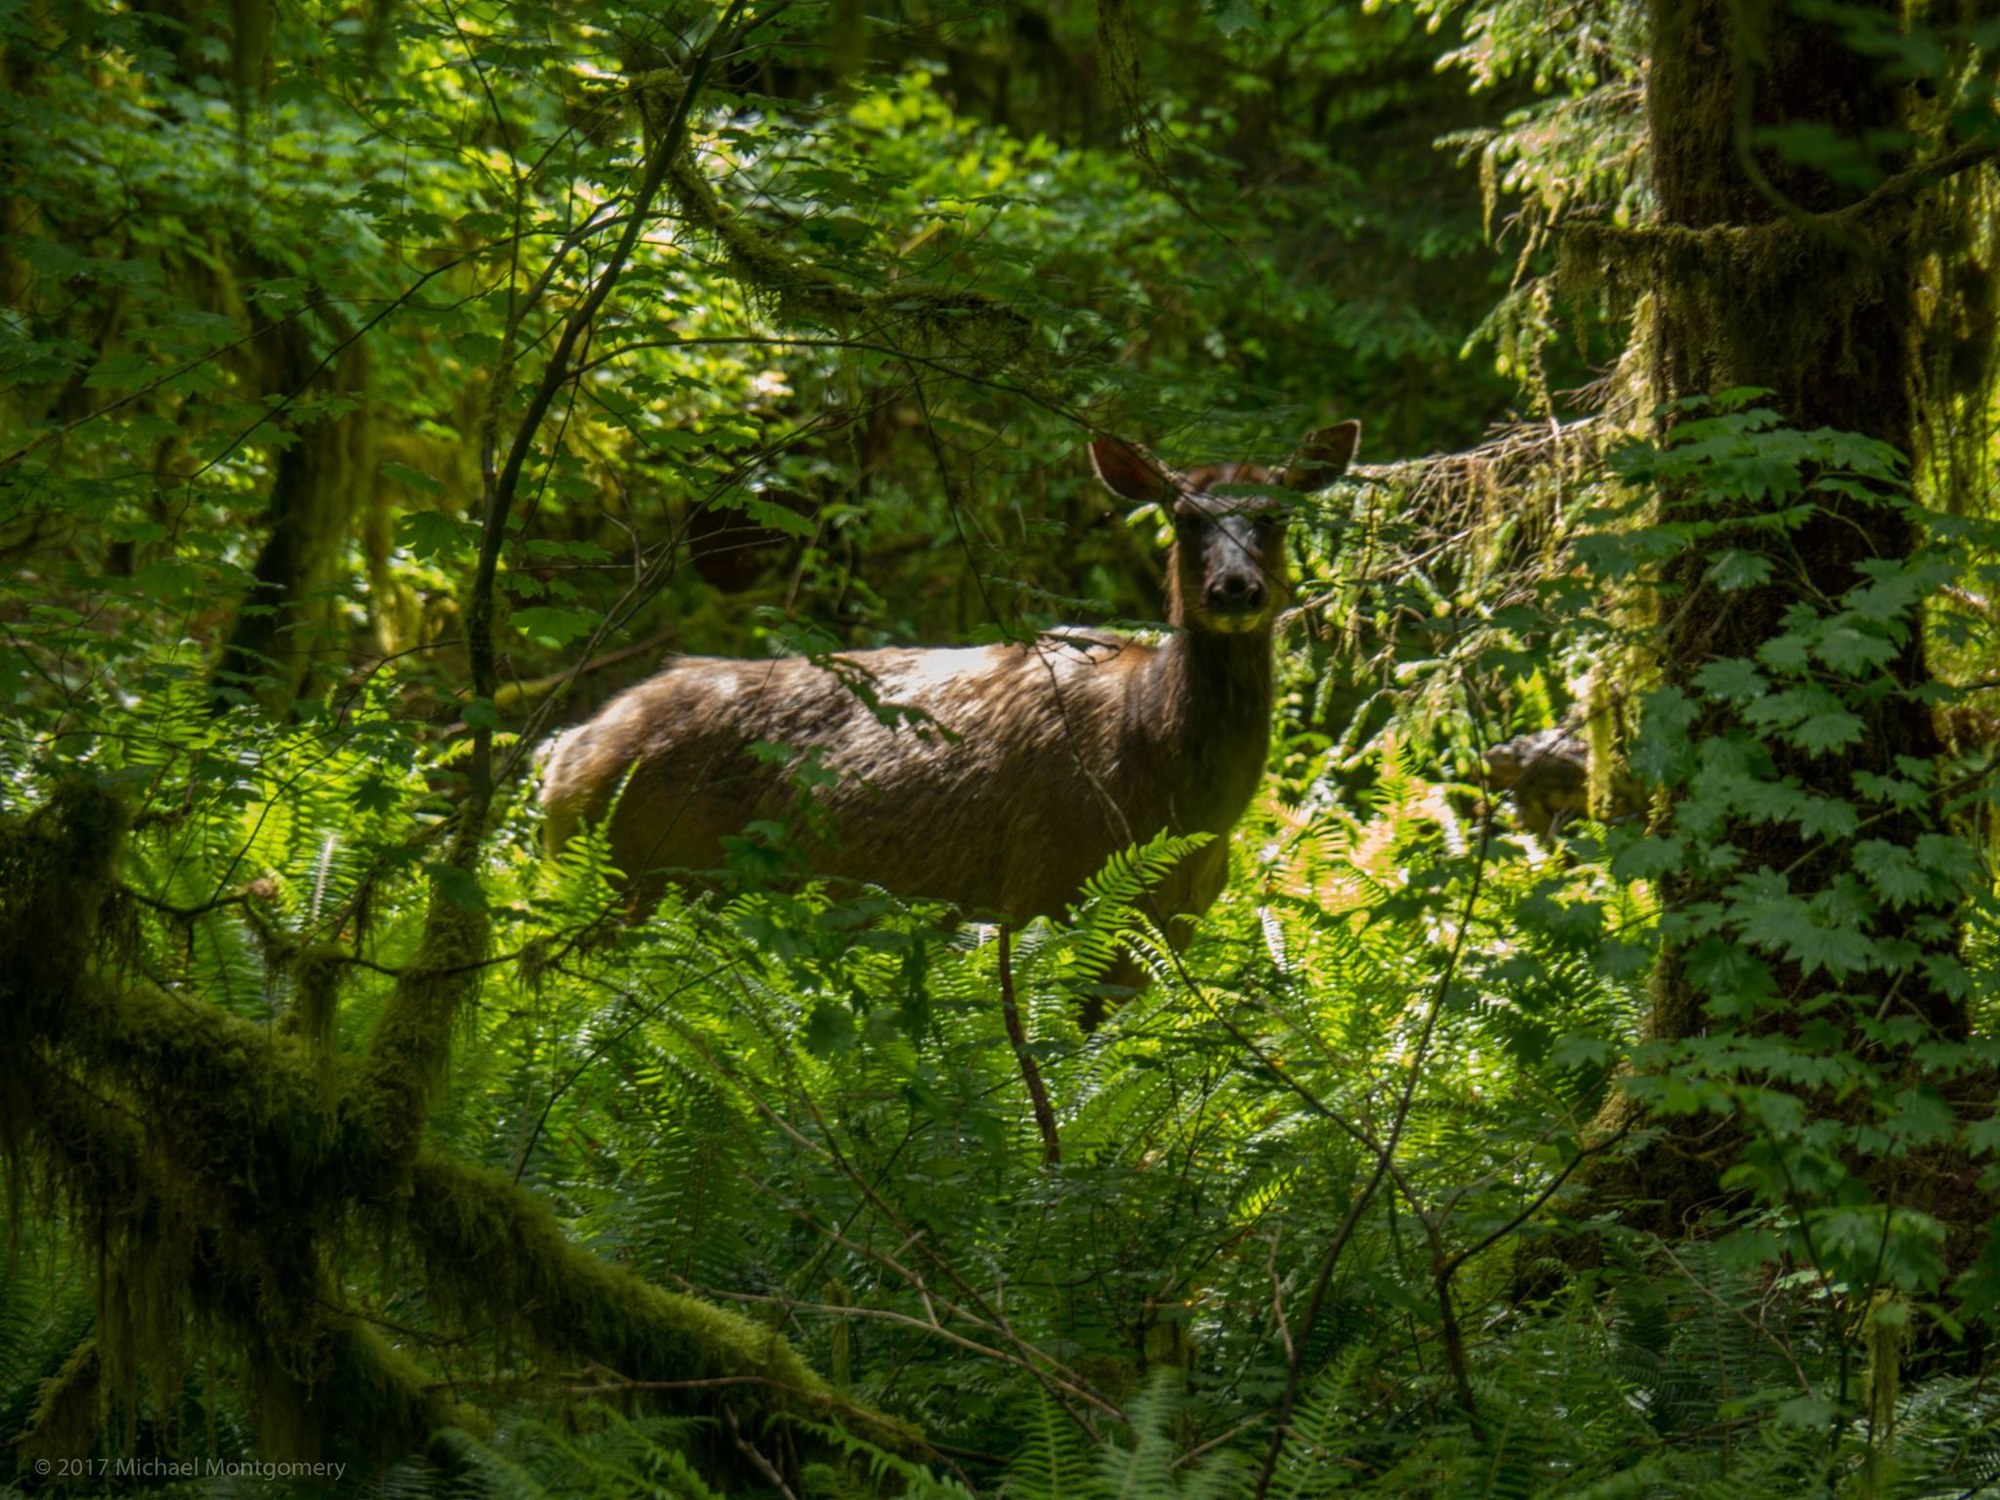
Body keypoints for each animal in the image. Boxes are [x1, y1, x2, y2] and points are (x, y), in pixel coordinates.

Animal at [544, 424, 1360, 1160]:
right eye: (1185, 516)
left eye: (1276, 514)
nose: (1235, 589)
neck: (1173, 798)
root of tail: (569, 753)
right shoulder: (1042, 897)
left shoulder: (1161, 938)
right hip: (634, 880)